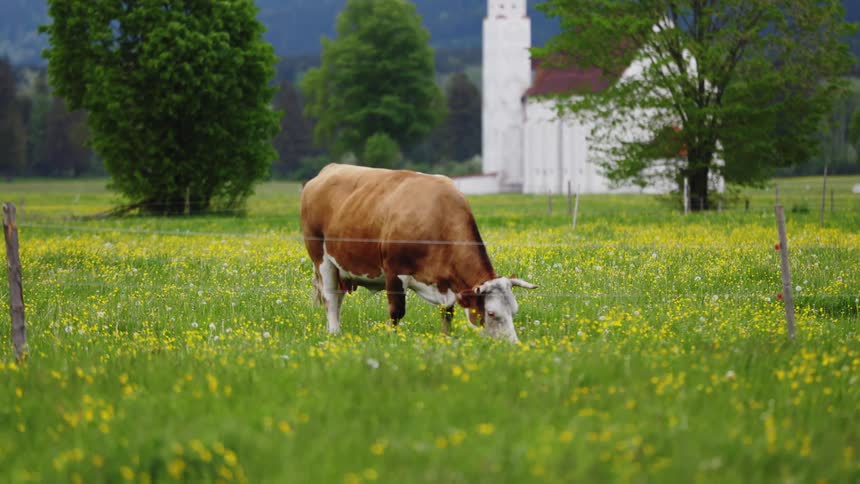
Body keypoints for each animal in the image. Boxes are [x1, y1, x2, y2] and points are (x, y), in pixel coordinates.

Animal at [300, 163, 537, 343]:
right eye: (491, 313)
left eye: (514, 311)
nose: (513, 345)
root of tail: (329, 169)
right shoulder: (394, 272)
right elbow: (396, 312)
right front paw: (394, 340)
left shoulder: (446, 284)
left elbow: (447, 314)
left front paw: (446, 339)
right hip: (322, 259)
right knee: (330, 297)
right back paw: (334, 332)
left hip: (341, 267)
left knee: (338, 297)